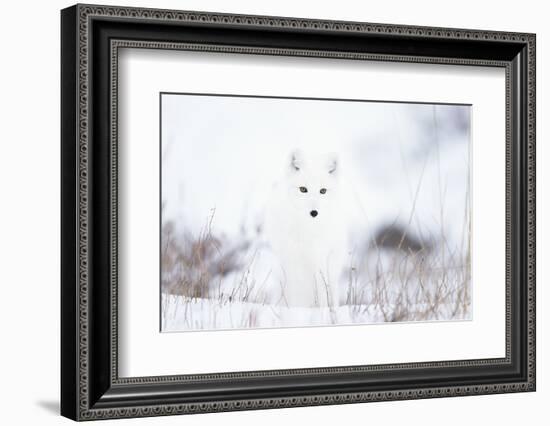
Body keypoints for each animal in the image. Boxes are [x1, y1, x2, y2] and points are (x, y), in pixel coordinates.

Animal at [264, 150, 350, 310]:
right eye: (303, 189)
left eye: (323, 191)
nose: (314, 212)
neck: (309, 231)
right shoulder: (294, 259)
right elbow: (298, 291)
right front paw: (297, 311)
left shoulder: (321, 258)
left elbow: (323, 290)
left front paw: (324, 311)